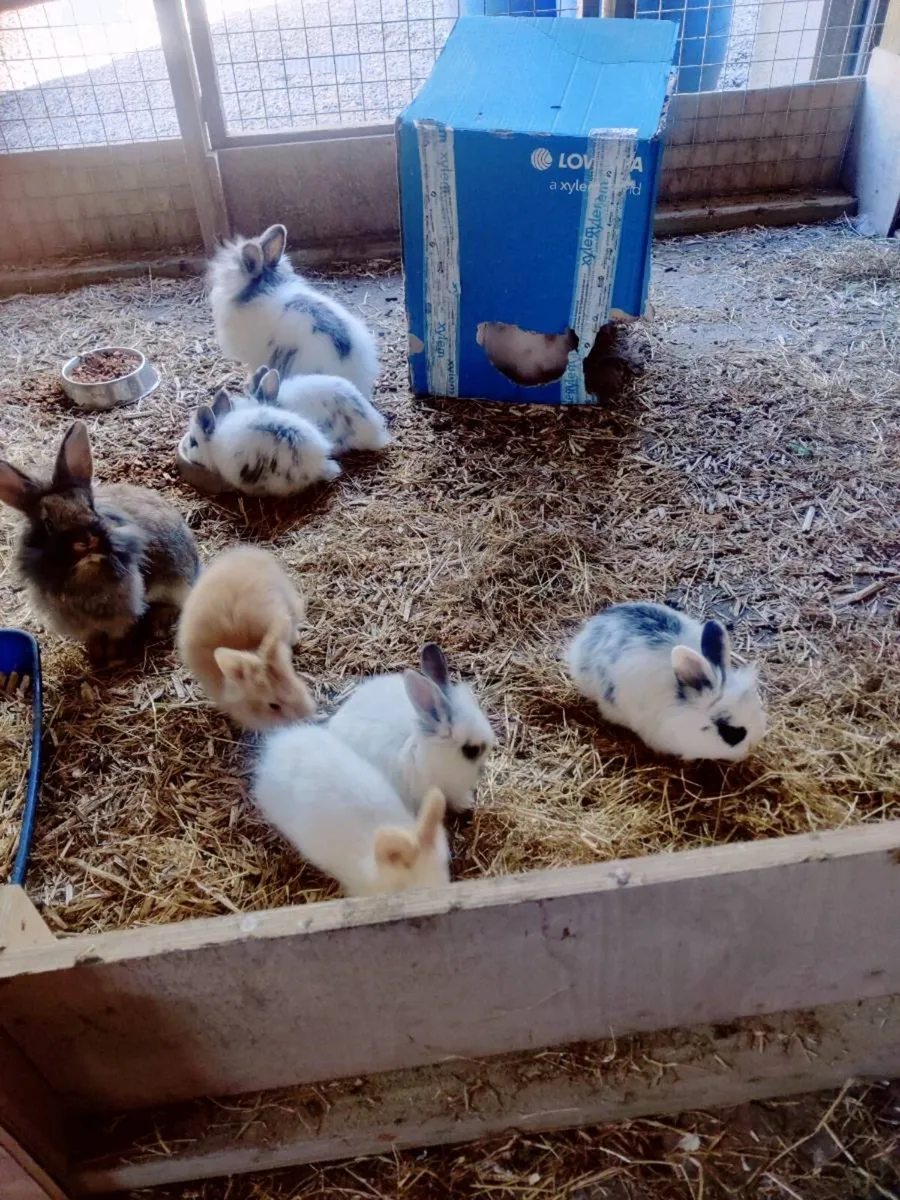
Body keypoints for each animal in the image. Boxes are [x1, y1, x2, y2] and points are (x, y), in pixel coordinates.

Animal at [0, 420, 198, 663]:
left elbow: (116, 637)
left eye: (91, 507)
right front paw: (94, 657)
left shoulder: (121, 617)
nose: (86, 541)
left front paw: (113, 660)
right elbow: (93, 639)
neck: (87, 570)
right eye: (47, 524)